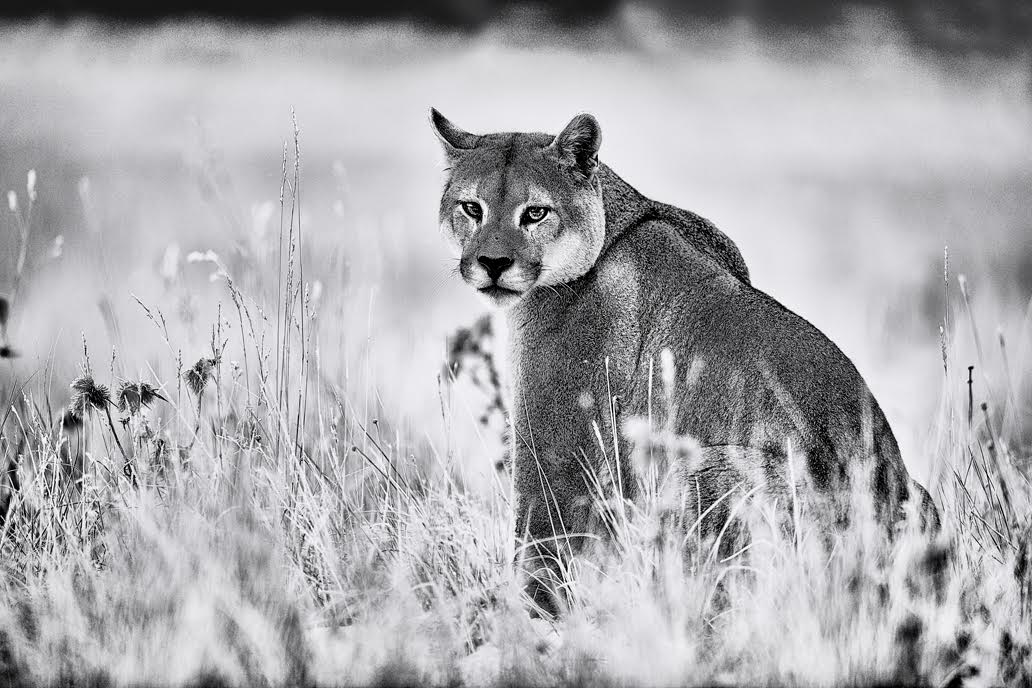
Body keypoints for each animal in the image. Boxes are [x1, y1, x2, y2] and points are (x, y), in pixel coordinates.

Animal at [430, 108, 938, 616]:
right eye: (471, 208)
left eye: (535, 212)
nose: (492, 262)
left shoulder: (557, 441)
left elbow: (539, 541)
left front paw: (524, 618)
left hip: (699, 471)